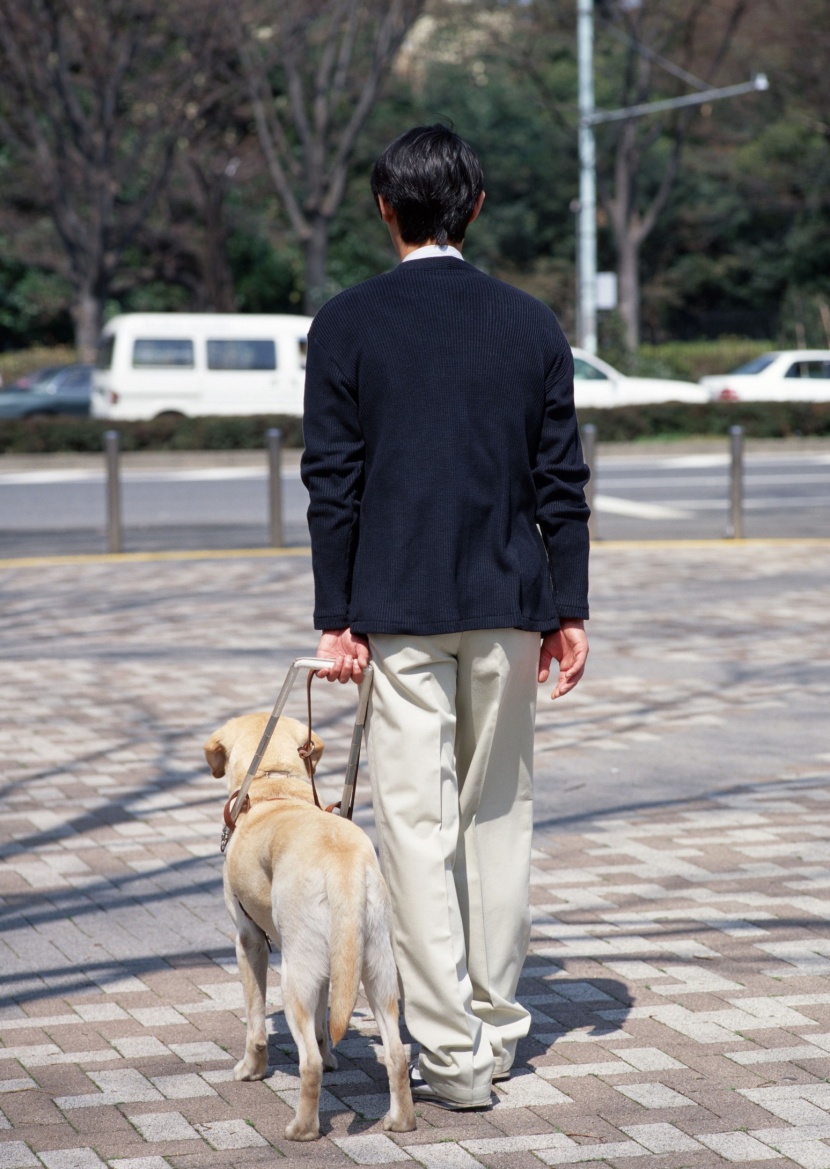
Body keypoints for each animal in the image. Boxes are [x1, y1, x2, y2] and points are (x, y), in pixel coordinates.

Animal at [202, 710, 416, 1140]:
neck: (274, 788)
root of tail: (343, 865)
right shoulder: (331, 966)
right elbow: (324, 1023)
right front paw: (332, 1054)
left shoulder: (248, 942)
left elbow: (255, 1022)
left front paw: (250, 1070)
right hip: (376, 970)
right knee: (396, 1054)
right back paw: (400, 1121)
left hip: (294, 977)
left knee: (309, 1064)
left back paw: (302, 1129)